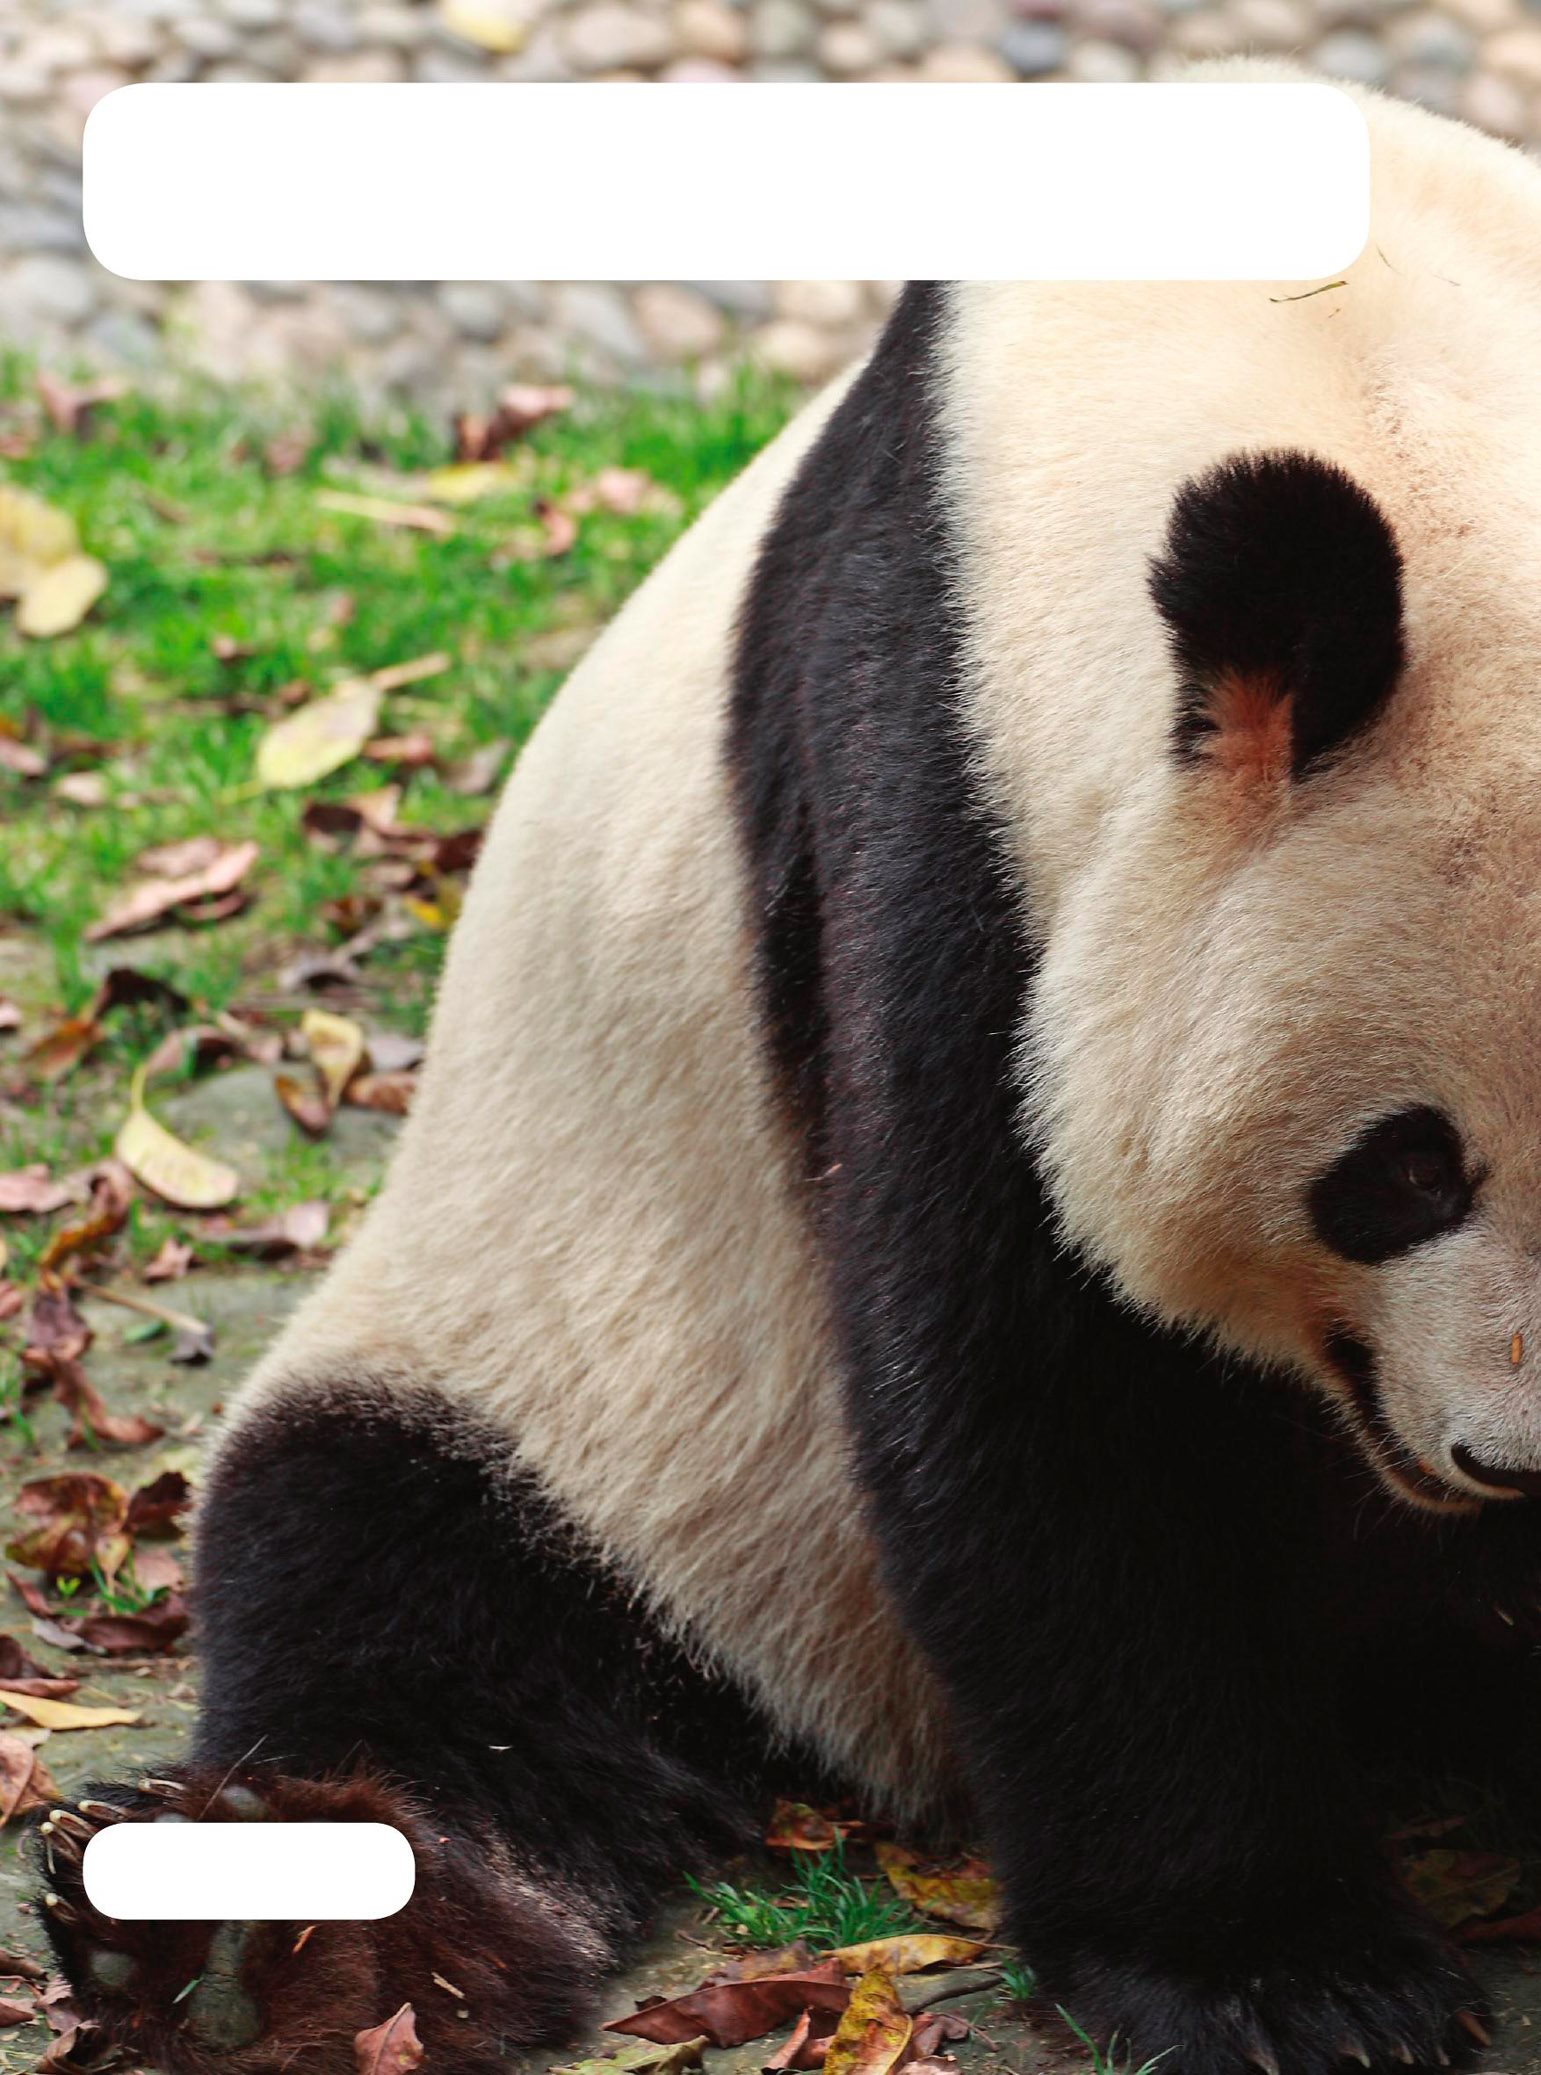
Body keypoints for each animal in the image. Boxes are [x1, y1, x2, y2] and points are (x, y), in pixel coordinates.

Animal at [33, 73, 1541, 2075]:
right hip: (588, 1372)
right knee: (411, 1604)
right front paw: (1281, 1976)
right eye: (1401, 1169)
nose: (1513, 1459)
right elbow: (1032, 1390)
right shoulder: (942, 802)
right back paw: (257, 1938)